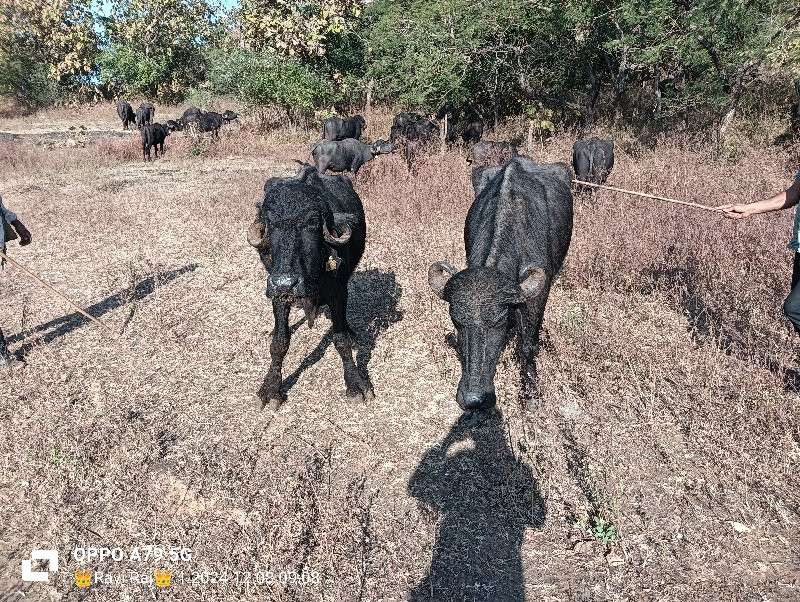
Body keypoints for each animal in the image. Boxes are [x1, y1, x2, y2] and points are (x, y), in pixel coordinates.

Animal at [245, 164, 374, 408]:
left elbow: (340, 339)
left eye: (312, 222)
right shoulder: (278, 295)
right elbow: (279, 342)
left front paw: (355, 383)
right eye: (271, 223)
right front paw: (271, 389)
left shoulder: (338, 292)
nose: (286, 283)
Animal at [428, 156, 572, 408]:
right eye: (456, 321)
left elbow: (528, 344)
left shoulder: (539, 293)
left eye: (498, 321)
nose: (473, 399)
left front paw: (530, 393)